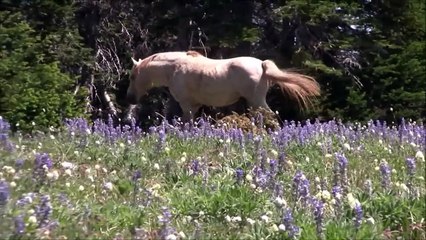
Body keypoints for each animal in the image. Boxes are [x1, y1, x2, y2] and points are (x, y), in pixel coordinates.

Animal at [126, 51, 320, 121]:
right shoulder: (195, 106)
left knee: (270, 116)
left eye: (133, 76)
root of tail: (261, 64)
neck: (174, 68)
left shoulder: (187, 105)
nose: (130, 98)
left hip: (256, 101)